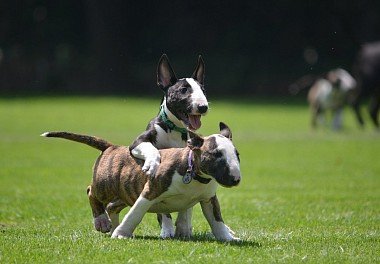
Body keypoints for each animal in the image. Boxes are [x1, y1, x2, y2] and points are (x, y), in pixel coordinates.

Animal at [130, 54, 208, 238]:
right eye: (184, 90)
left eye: (203, 90)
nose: (203, 107)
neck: (176, 130)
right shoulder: (137, 143)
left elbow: (187, 207)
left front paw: (183, 228)